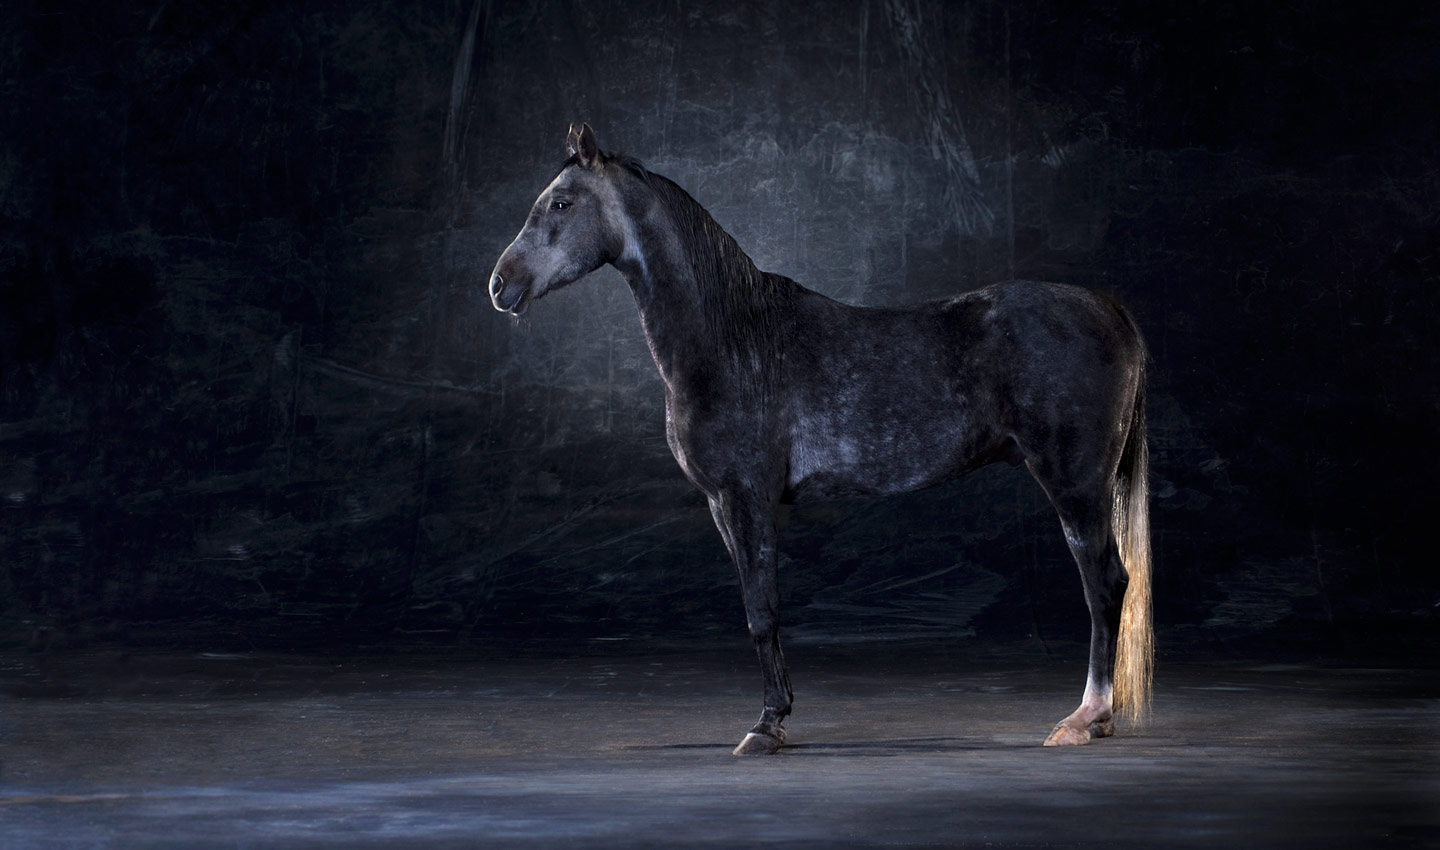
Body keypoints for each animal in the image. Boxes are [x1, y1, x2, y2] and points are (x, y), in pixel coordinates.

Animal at [488, 123, 1152, 755]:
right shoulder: (721, 505)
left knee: (1104, 583)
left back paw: (1086, 718)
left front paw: (766, 727)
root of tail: (1110, 309)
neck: (734, 340)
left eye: (560, 203)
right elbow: (759, 609)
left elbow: (762, 611)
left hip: (1075, 485)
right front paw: (777, 715)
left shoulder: (748, 498)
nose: (499, 285)